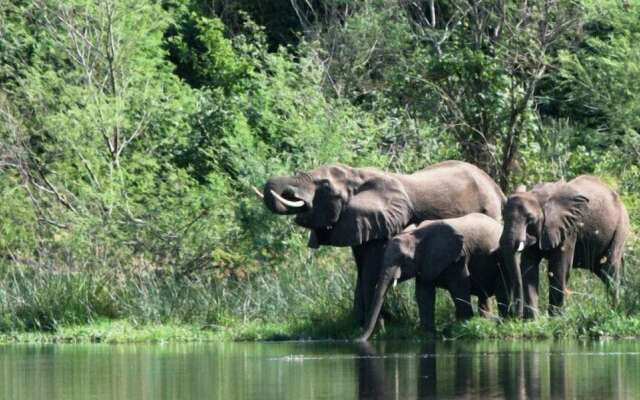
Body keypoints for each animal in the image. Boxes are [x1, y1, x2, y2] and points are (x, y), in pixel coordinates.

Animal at [258, 159, 504, 324]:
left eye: (325, 186)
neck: (357, 174)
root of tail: (495, 186)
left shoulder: (386, 222)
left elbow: (371, 268)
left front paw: (379, 326)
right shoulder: (357, 221)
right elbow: (361, 267)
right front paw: (357, 325)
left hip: (489, 212)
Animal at [358, 212, 508, 340]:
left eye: (405, 260)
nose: (359, 340)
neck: (416, 234)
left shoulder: (458, 258)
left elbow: (459, 288)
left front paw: (462, 327)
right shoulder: (424, 262)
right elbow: (423, 294)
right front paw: (428, 334)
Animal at [500, 175, 632, 318]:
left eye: (530, 219)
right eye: (503, 216)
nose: (515, 316)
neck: (538, 197)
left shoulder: (569, 229)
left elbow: (559, 268)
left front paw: (555, 318)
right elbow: (528, 268)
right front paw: (532, 320)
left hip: (621, 226)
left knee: (610, 268)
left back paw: (615, 310)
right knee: (603, 271)